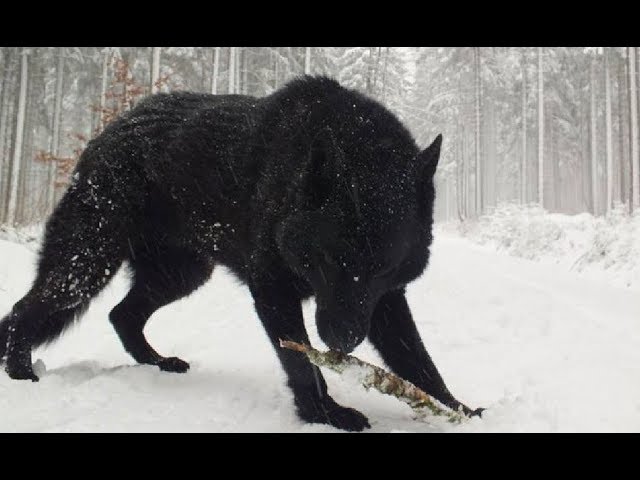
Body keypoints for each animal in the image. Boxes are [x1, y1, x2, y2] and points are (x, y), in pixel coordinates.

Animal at [0, 76, 480, 432]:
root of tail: (111, 129)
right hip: (86, 266)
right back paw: (21, 372)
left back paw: (158, 363)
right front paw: (325, 414)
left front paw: (458, 410)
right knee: (24, 310)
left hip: (180, 275)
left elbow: (418, 360)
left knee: (122, 315)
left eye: (383, 268)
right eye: (329, 260)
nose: (343, 343)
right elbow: (303, 364)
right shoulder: (273, 290)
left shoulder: (382, 301)